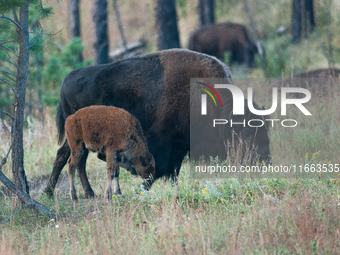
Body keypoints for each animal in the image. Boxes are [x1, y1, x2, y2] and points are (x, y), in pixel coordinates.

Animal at [45, 48, 272, 198]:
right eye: (246, 133)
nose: (265, 160)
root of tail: (66, 81)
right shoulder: (164, 142)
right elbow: (158, 167)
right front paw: (143, 187)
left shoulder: (179, 146)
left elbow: (172, 171)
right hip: (79, 138)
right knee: (70, 158)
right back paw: (62, 192)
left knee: (69, 157)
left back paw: (74, 192)